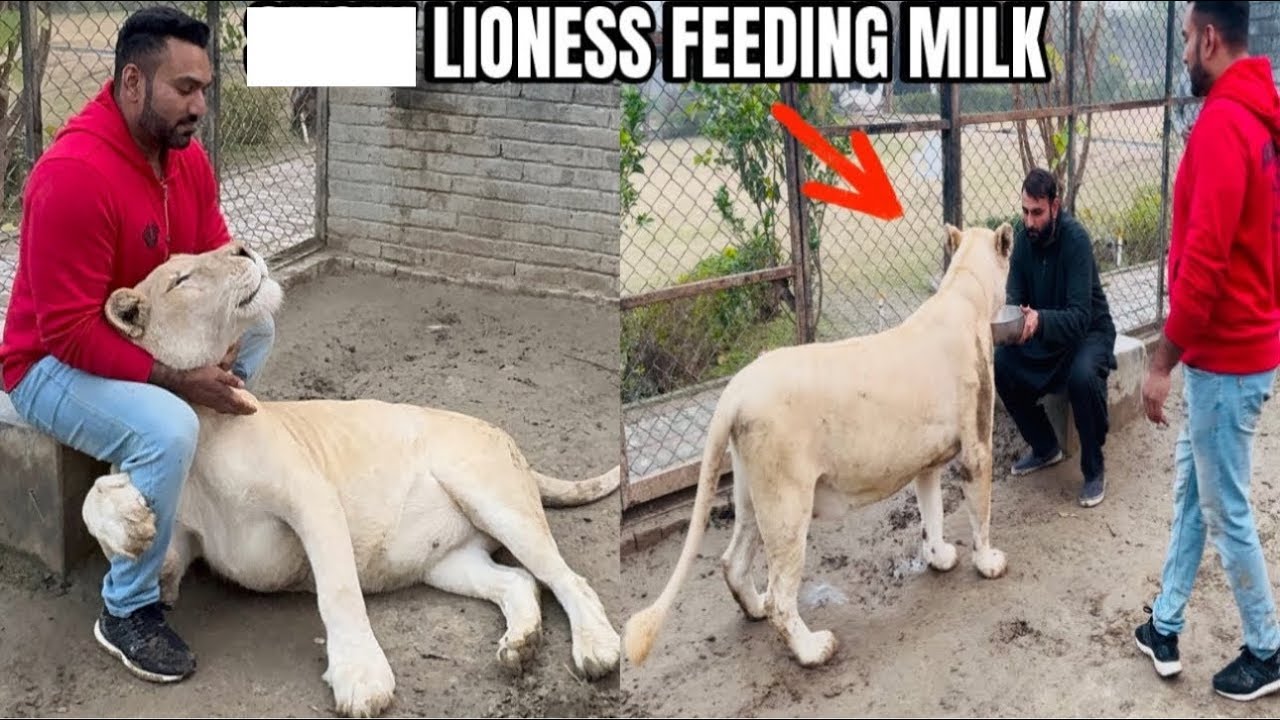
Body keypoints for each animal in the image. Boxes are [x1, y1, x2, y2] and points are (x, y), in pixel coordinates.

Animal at [80, 242, 621, 718]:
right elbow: (112, 524)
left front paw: (362, 678)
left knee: (566, 578)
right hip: (450, 563)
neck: (204, 422)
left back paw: (597, 648)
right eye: (182, 279)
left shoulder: (311, 498)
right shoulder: (179, 555)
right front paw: (125, 516)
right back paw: (521, 645)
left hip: (493, 498)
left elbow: (338, 588)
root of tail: (505, 437)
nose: (241, 247)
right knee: (520, 581)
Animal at [622, 222, 1015, 669]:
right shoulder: (976, 449)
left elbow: (931, 514)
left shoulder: (926, 462)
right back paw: (813, 649)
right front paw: (988, 563)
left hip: (752, 495)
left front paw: (940, 557)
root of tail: (736, 388)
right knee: (780, 598)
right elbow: (980, 514)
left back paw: (753, 609)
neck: (966, 289)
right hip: (788, 503)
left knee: (734, 563)